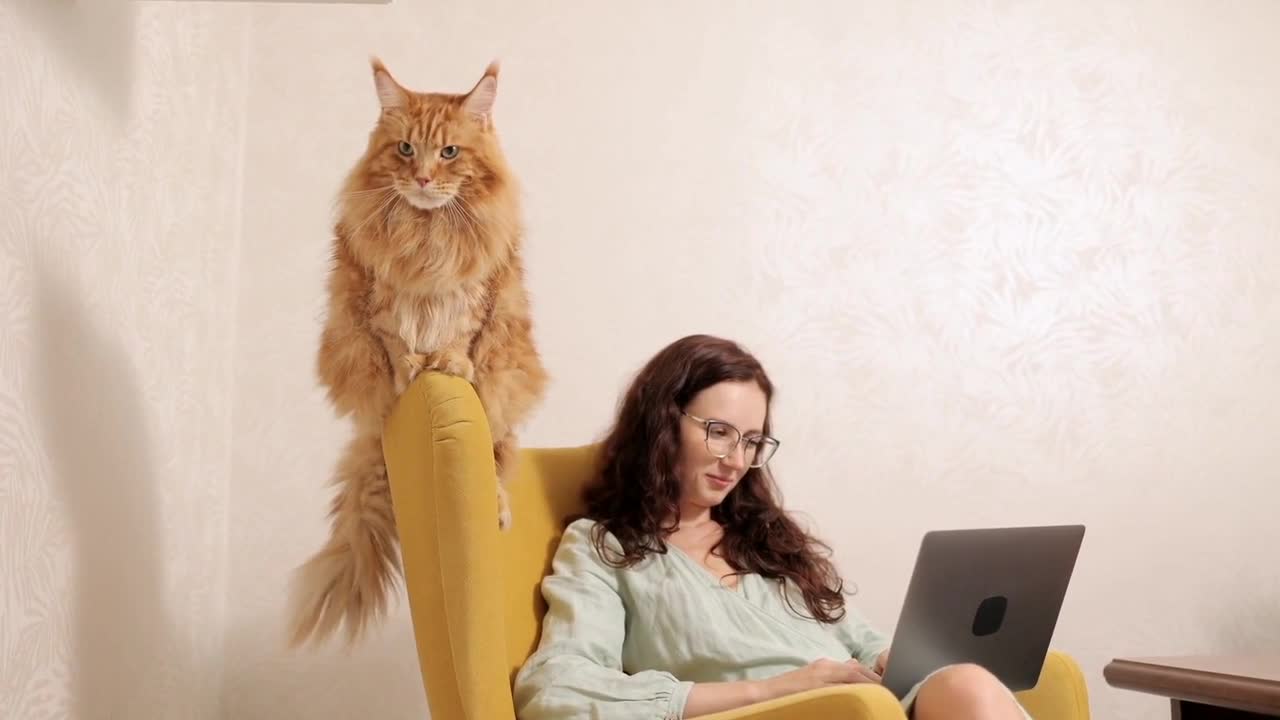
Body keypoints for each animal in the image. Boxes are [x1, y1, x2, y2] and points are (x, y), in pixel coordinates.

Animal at [288, 58, 547, 648]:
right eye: (405, 149)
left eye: (449, 152)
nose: (424, 178)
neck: (429, 231)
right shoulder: (376, 298)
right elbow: (396, 340)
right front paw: (411, 369)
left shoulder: (475, 298)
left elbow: (456, 338)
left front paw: (446, 363)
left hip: (501, 408)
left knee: (497, 462)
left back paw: (498, 507)